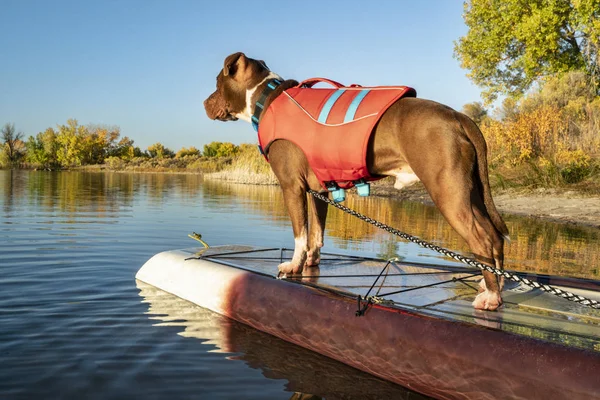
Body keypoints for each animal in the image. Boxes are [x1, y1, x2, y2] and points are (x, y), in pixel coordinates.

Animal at [204, 52, 508, 310]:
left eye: (217, 83)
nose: (205, 102)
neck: (265, 98)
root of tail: (458, 117)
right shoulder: (318, 192)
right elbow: (316, 232)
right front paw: (311, 262)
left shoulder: (292, 186)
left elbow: (300, 233)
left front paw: (292, 266)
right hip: (471, 191)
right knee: (494, 235)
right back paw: (492, 284)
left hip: (448, 191)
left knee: (481, 240)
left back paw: (491, 298)